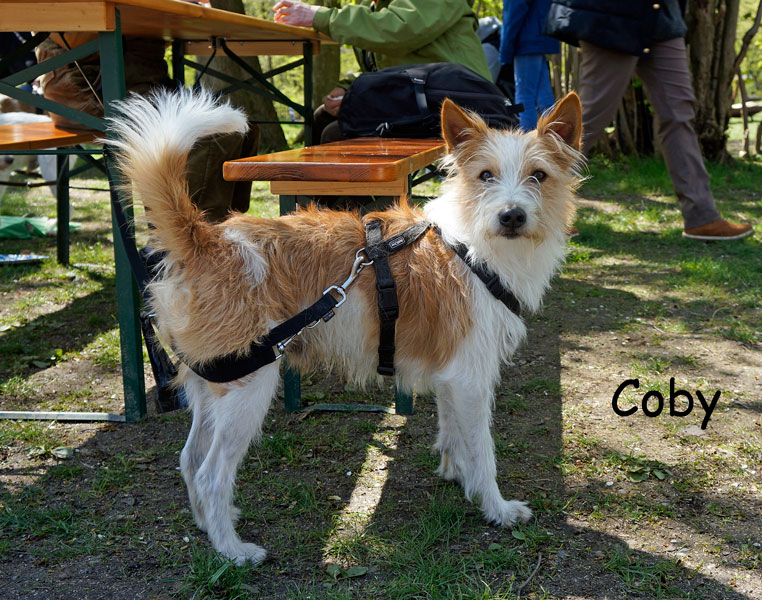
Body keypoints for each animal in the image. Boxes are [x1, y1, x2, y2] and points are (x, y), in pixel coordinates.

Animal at [108, 88, 582, 565]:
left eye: (538, 176)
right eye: (486, 175)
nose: (512, 216)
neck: (472, 246)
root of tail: (207, 240)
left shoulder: (452, 375)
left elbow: (452, 431)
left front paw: (454, 473)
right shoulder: (470, 377)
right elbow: (483, 451)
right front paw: (496, 507)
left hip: (217, 382)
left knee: (189, 460)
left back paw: (209, 527)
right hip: (249, 389)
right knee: (210, 474)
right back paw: (233, 550)